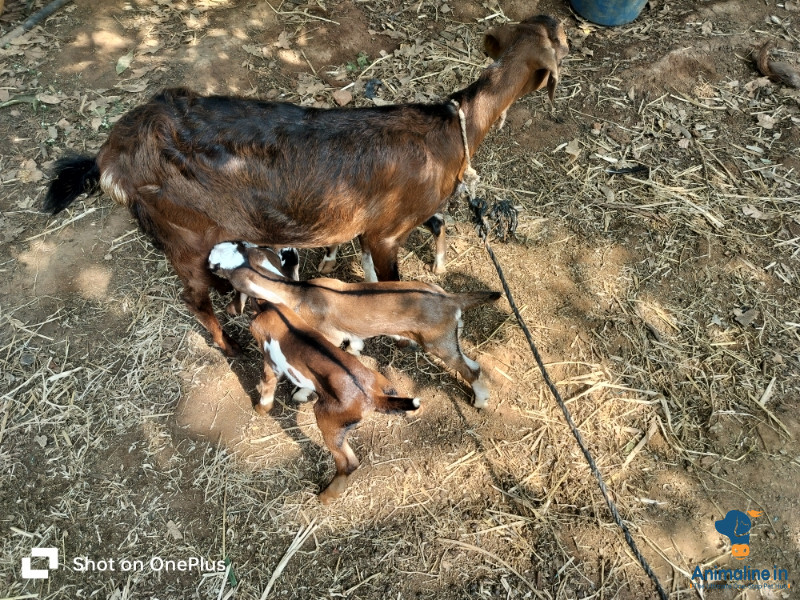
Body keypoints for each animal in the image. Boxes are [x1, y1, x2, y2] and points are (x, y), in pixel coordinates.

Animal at [43, 15, 568, 356]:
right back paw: (231, 347)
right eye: (563, 40)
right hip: (184, 234)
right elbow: (394, 286)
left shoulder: (365, 229)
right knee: (192, 298)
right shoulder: (388, 230)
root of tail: (110, 157)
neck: (450, 129)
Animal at [209, 242, 501, 408]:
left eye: (217, 266)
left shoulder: (325, 336)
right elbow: (355, 340)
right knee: (474, 365)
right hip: (450, 338)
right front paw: (356, 349)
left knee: (469, 370)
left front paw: (301, 395)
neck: (297, 292)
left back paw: (480, 402)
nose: (208, 256)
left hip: (437, 342)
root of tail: (451, 299)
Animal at [250, 301, 419, 503]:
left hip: (328, 422)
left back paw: (326, 496)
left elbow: (267, 387)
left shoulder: (271, 364)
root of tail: (373, 396)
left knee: (348, 463)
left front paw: (260, 408)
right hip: (378, 382)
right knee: (394, 392)